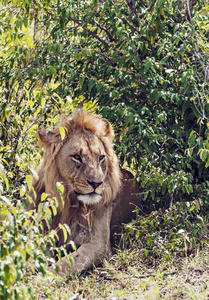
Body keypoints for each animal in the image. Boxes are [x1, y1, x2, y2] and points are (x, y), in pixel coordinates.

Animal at [29, 109, 140, 276]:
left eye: (101, 158)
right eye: (77, 157)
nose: (97, 183)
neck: (69, 204)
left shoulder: (99, 245)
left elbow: (65, 263)